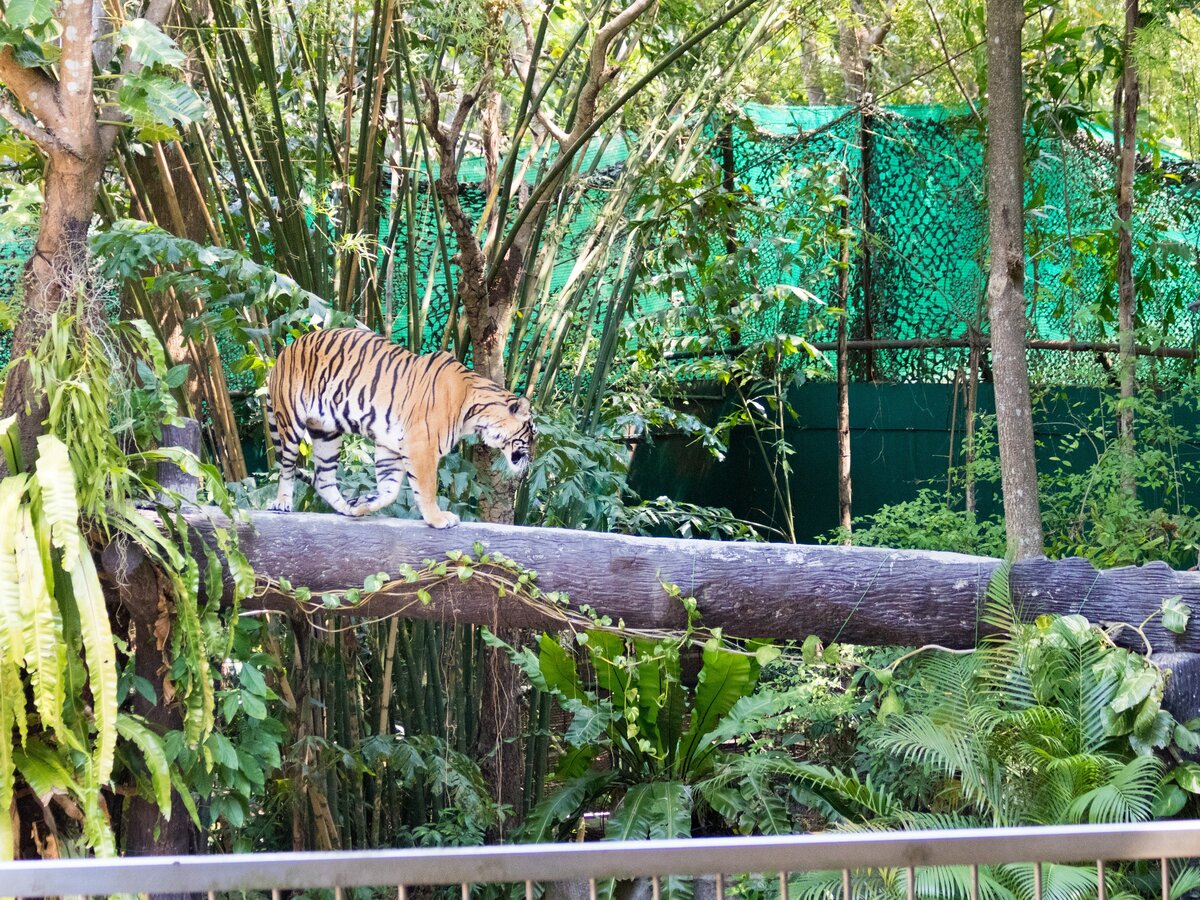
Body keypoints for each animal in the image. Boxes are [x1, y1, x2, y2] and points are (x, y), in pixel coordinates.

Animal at [270, 328, 537, 528]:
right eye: (532, 433)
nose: (532, 459)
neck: (475, 413)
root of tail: (284, 351)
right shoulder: (421, 446)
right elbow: (426, 488)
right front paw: (438, 519)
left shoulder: (390, 446)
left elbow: (390, 490)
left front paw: (364, 504)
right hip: (291, 423)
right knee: (286, 467)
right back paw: (281, 502)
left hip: (326, 433)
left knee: (323, 478)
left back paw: (346, 508)